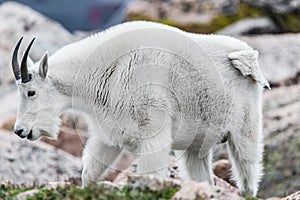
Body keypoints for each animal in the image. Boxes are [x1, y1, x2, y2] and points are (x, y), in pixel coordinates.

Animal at [12, 21, 270, 196]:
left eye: (31, 92)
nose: (19, 131)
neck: (106, 71)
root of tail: (247, 55)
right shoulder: (109, 135)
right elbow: (89, 173)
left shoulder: (152, 132)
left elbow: (149, 174)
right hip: (197, 145)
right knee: (204, 177)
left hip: (245, 130)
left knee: (248, 176)